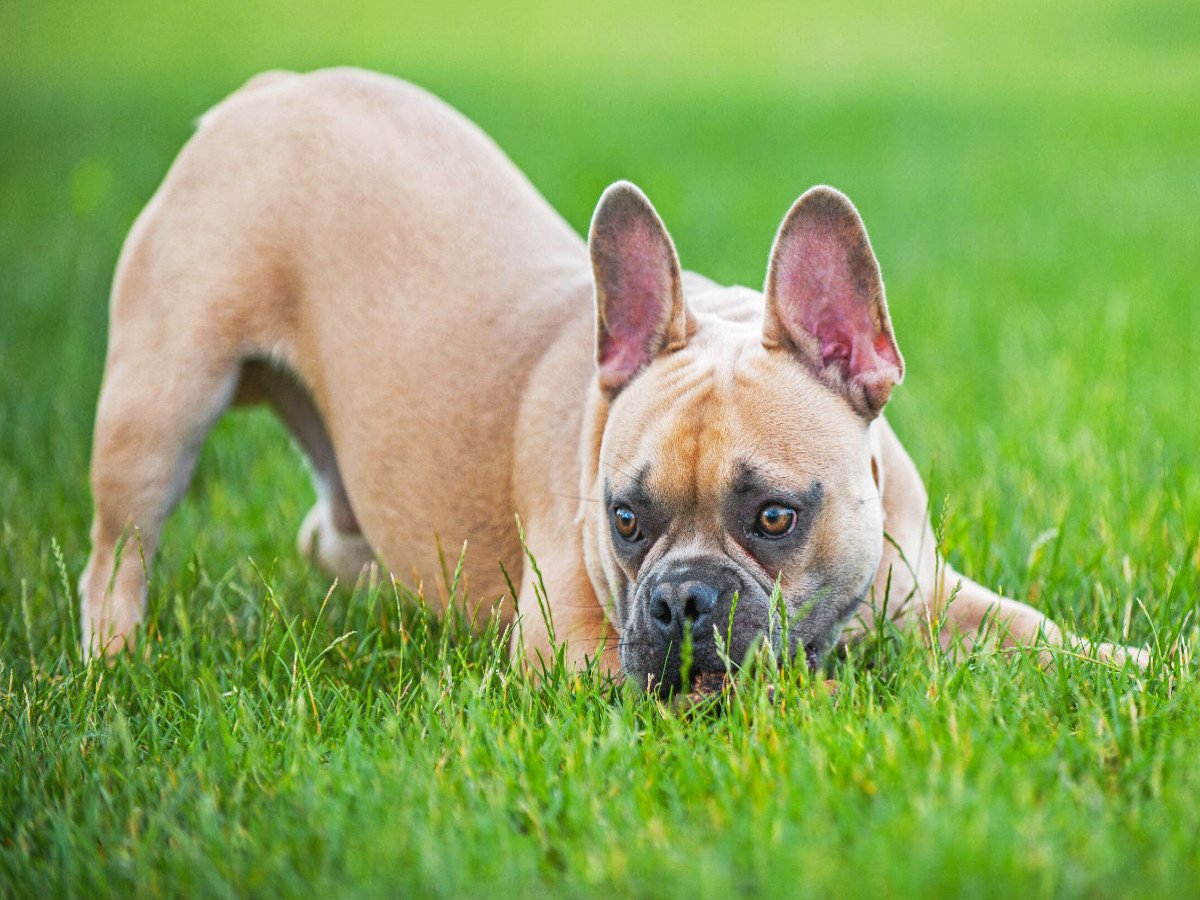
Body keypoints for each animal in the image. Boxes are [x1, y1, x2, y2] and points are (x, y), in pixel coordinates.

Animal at [77, 68, 1142, 691]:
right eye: (625, 521)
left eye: (776, 517)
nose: (679, 602)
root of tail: (271, 90)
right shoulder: (576, 652)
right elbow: (778, 689)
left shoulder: (930, 590)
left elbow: (1039, 631)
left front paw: (1143, 665)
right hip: (159, 401)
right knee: (116, 553)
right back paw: (111, 662)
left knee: (331, 532)